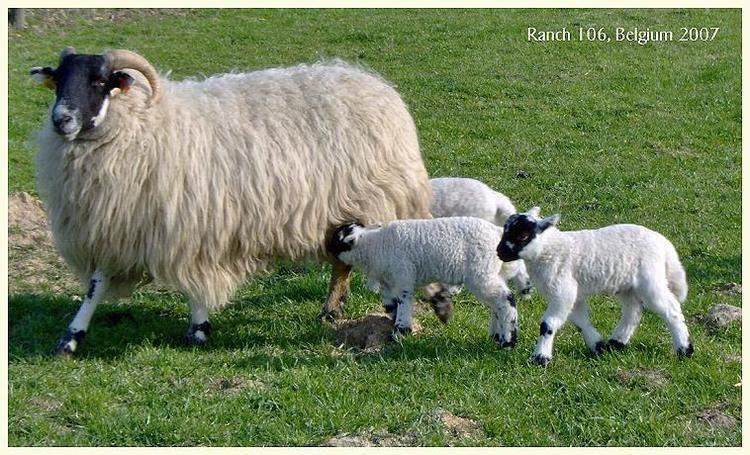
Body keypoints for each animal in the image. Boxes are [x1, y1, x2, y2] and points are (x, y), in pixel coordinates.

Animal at [29, 47, 432, 356]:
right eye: (58, 81)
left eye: (99, 81)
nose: (61, 120)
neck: (144, 126)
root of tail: (375, 85)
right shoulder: (115, 228)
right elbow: (94, 288)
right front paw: (70, 339)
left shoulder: (188, 228)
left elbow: (193, 285)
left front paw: (198, 331)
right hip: (337, 211)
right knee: (341, 263)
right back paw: (330, 311)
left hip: (374, 201)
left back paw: (389, 314)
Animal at [328, 217, 524, 346]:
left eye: (337, 240)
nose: (327, 250)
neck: (375, 246)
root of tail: (496, 232)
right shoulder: (389, 283)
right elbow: (391, 305)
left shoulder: (403, 276)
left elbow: (403, 303)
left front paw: (400, 331)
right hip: (491, 272)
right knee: (497, 304)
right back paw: (496, 336)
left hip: (480, 272)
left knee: (506, 299)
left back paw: (508, 341)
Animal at [500, 208, 692, 366]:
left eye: (523, 236)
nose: (500, 252)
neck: (549, 250)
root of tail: (664, 245)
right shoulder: (573, 295)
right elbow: (581, 321)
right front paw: (598, 346)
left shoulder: (563, 291)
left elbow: (548, 324)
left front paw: (540, 358)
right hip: (628, 285)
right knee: (633, 311)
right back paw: (616, 343)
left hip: (650, 279)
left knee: (671, 310)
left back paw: (684, 350)